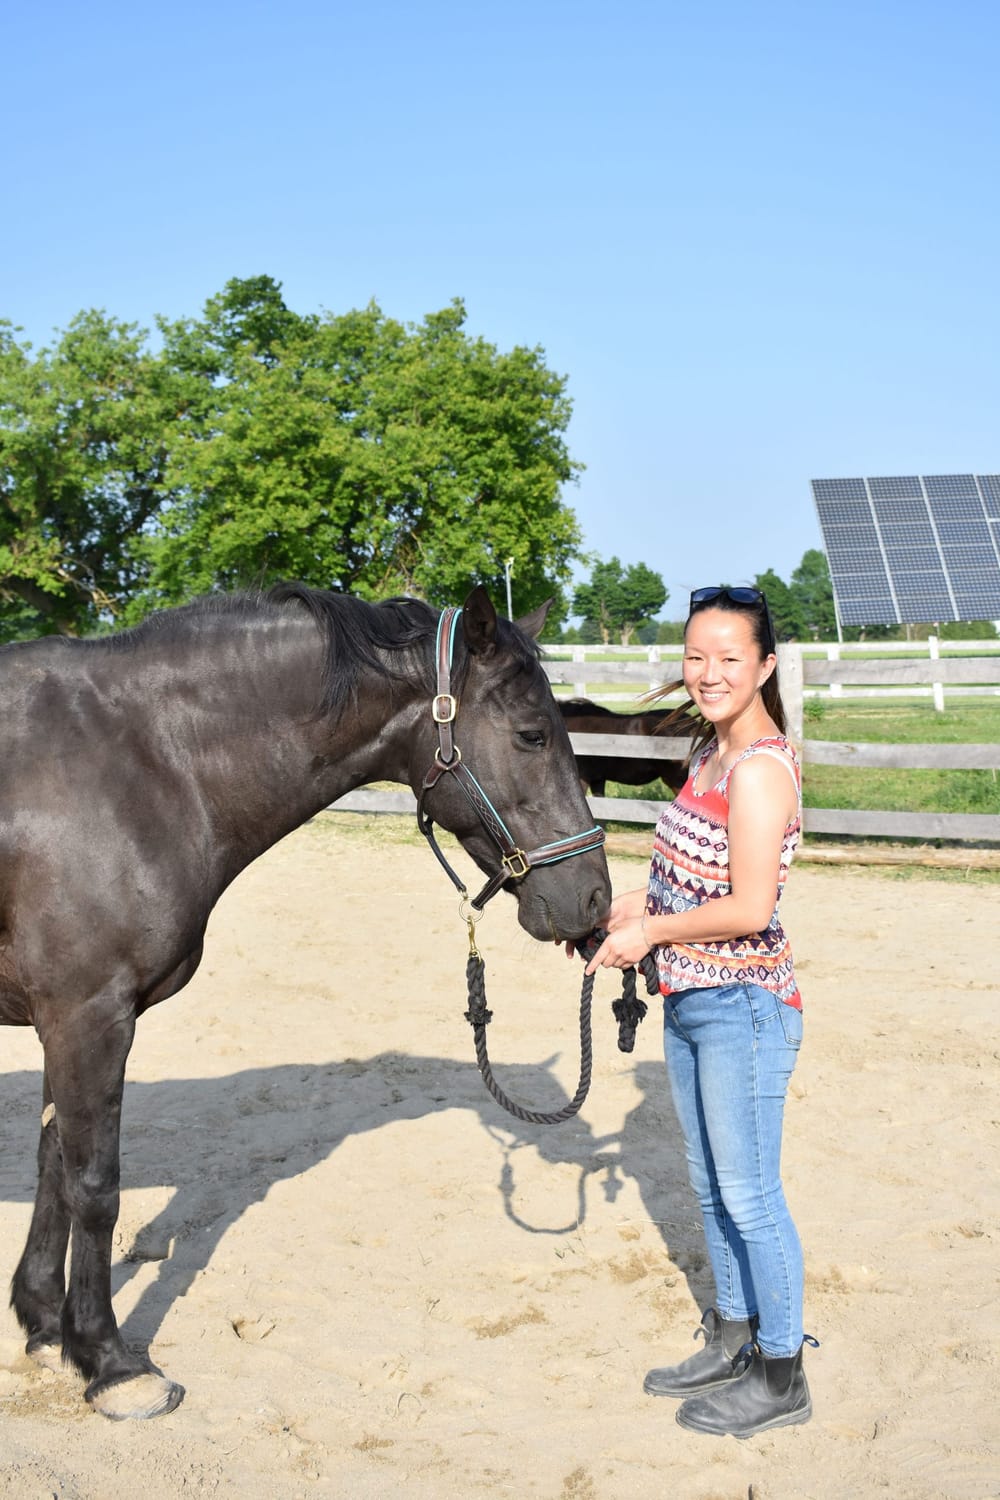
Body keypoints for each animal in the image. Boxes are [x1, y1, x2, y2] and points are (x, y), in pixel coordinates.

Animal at [0, 583, 610, 1420]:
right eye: (531, 734)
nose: (594, 901)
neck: (136, 764)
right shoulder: (88, 1017)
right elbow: (94, 1187)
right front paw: (111, 1363)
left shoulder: (63, 1022)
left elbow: (54, 1165)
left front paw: (40, 1324)